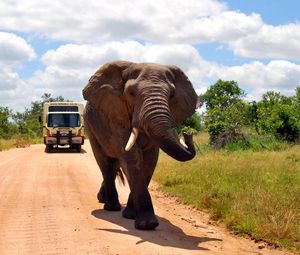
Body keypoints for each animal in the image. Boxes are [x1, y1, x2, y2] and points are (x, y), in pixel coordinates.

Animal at [82, 60, 199, 230]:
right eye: (131, 93)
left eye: (171, 95)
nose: (187, 134)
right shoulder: (118, 115)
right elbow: (132, 158)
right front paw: (147, 224)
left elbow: (149, 162)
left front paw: (131, 216)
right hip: (91, 127)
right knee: (106, 164)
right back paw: (111, 207)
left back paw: (104, 200)